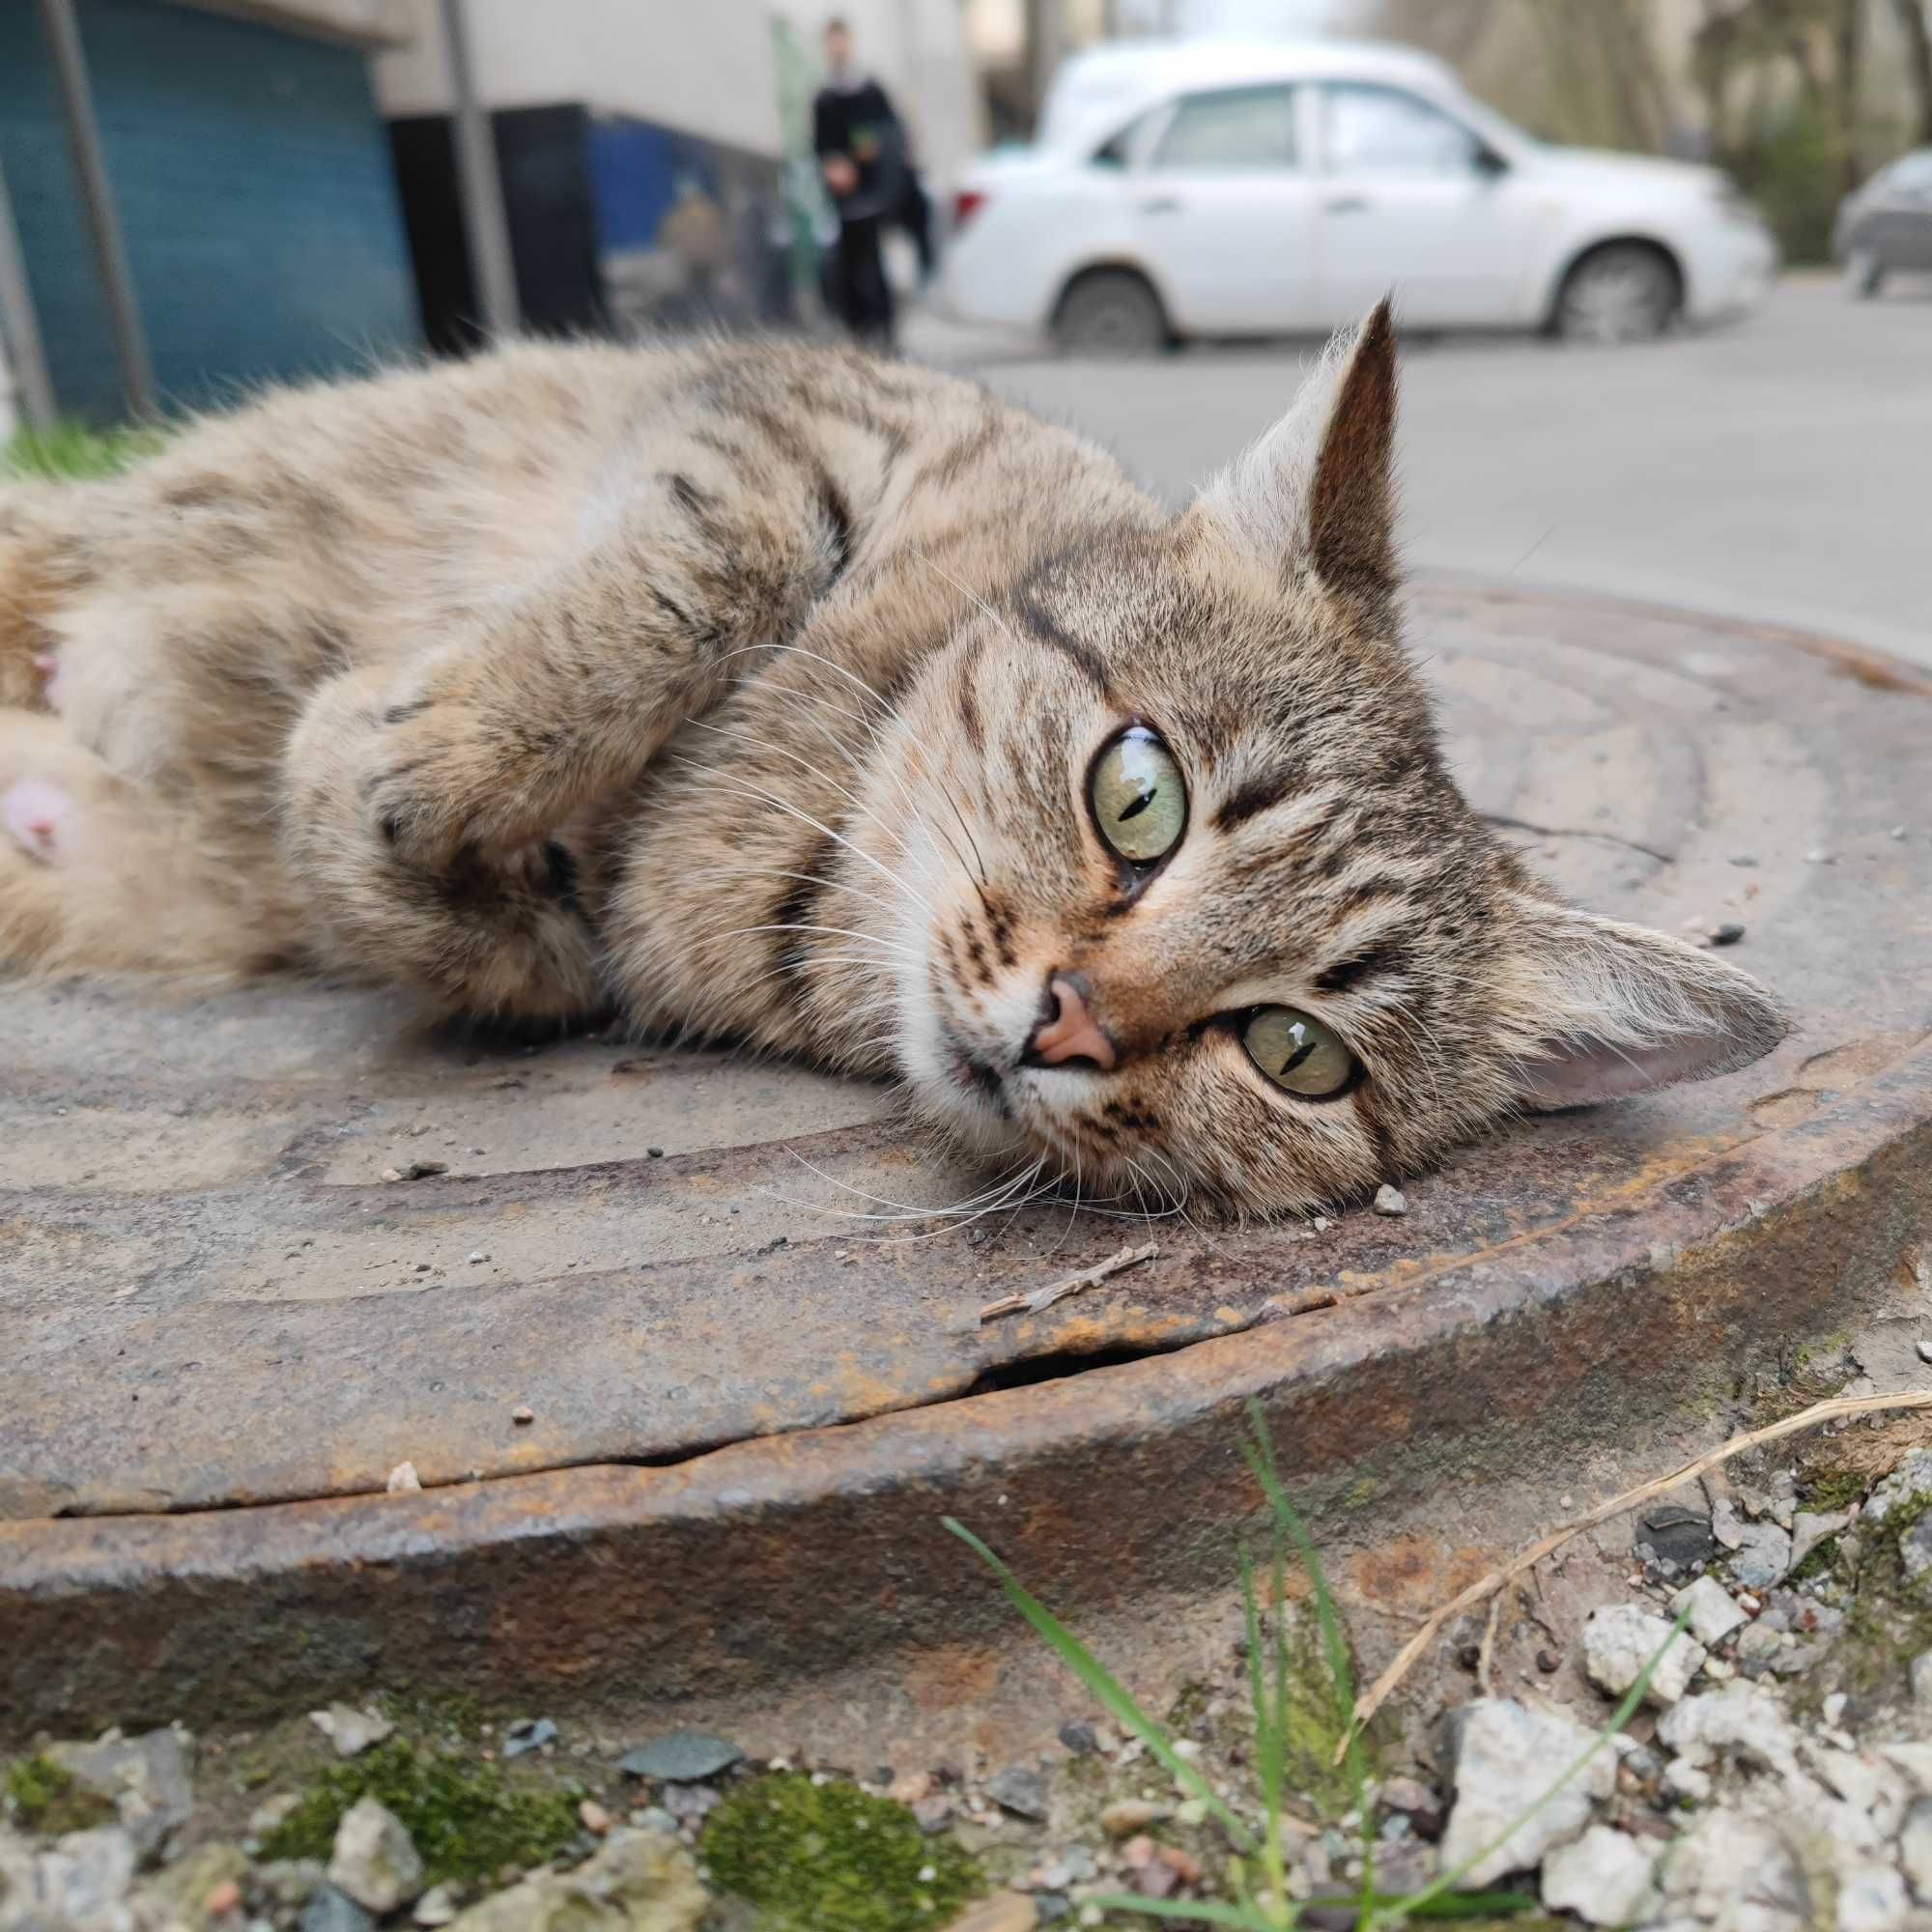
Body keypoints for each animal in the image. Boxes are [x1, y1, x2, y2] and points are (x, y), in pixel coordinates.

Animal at [0, 307, 1777, 1213]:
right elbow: (704, 570)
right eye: (1138, 793)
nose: (1069, 1023)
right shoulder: (790, 417)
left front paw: (379, 813)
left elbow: (494, 944)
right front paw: (422, 750)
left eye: (1296, 1053)